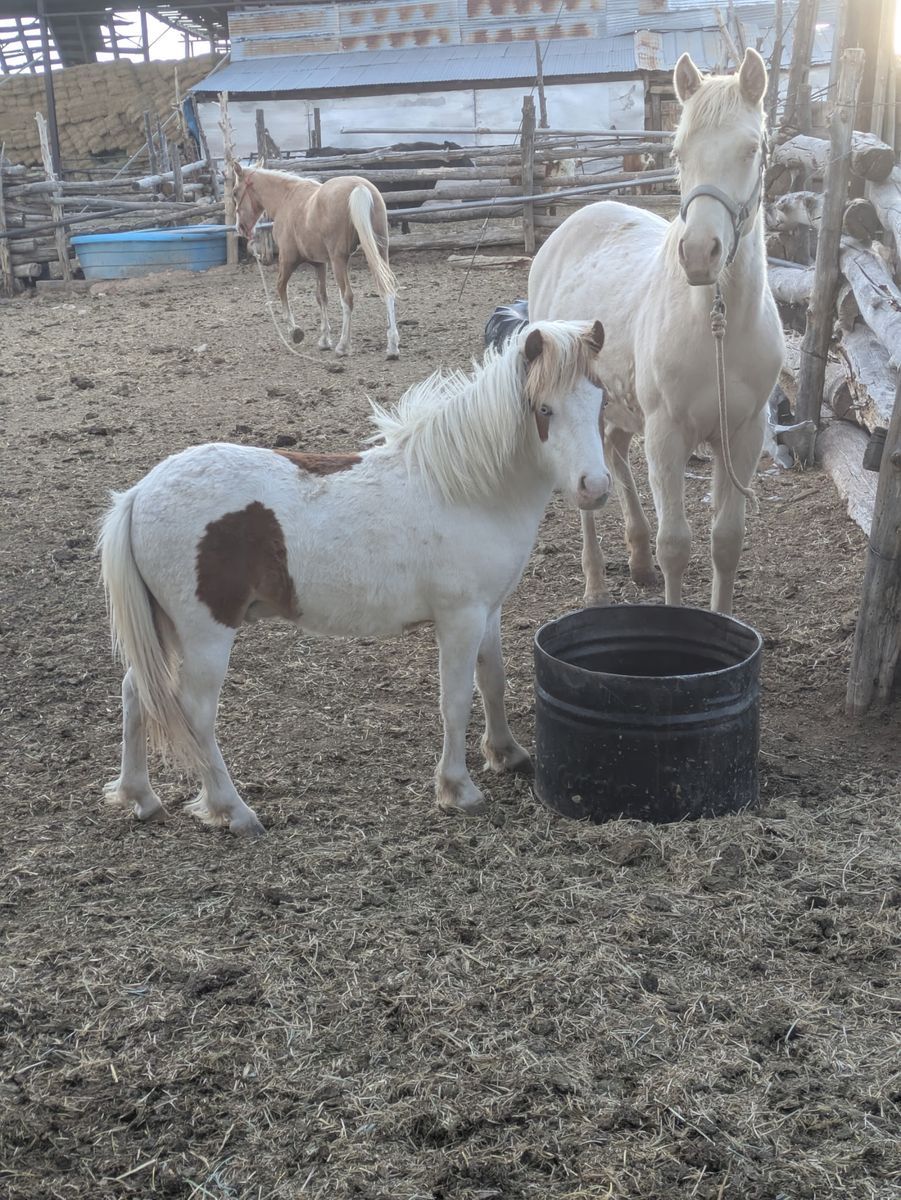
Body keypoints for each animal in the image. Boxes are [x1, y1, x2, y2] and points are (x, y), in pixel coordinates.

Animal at [98, 320, 611, 835]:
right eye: (544, 409)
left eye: (601, 400)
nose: (596, 487)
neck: (468, 489)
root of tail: (141, 493)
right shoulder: (460, 618)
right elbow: (456, 700)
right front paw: (457, 788)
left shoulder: (489, 611)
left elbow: (493, 680)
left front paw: (506, 754)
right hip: (205, 634)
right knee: (197, 713)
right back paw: (233, 810)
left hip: (166, 628)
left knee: (135, 692)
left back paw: (139, 795)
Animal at [232, 162, 400, 359]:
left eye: (235, 192)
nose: (240, 228)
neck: (286, 199)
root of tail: (359, 187)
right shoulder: (319, 263)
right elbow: (321, 297)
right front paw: (324, 339)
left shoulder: (288, 260)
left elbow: (280, 287)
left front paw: (294, 331)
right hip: (380, 251)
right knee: (387, 289)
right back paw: (392, 346)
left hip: (339, 260)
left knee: (347, 297)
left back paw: (343, 345)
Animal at [526, 48, 784, 615]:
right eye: (678, 151)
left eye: (751, 149)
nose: (700, 254)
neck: (716, 327)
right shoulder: (667, 433)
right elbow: (677, 545)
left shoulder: (744, 433)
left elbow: (726, 540)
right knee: (590, 486)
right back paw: (596, 585)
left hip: (620, 402)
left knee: (617, 453)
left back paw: (637, 557)